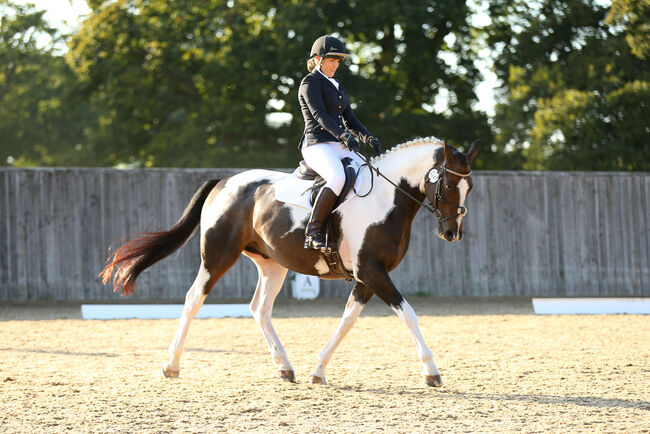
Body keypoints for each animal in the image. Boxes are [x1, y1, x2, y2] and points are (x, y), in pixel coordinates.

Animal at [100, 136, 476, 386]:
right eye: (448, 183)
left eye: (469, 186)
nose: (452, 233)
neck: (385, 199)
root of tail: (225, 181)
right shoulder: (372, 272)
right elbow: (409, 314)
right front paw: (431, 371)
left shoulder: (367, 277)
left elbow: (347, 320)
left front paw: (319, 370)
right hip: (217, 256)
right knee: (194, 299)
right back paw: (171, 365)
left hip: (273, 265)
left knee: (260, 309)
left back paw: (284, 366)